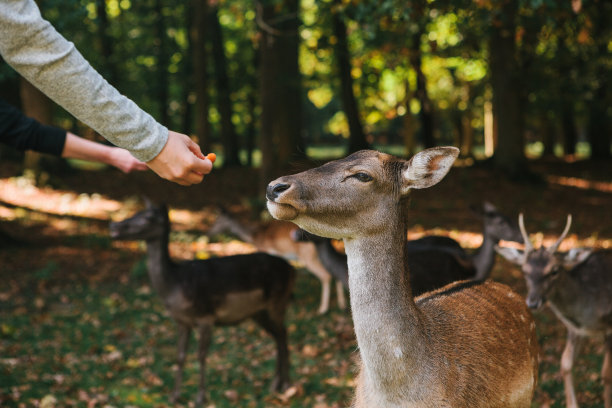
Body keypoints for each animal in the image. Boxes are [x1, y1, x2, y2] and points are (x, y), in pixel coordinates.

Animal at [109, 202, 296, 406]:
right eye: (138, 211)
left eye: (148, 217)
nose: (115, 226)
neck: (175, 287)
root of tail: (292, 270)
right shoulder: (182, 321)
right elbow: (180, 356)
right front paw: (174, 396)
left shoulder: (206, 316)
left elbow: (201, 355)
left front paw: (200, 398)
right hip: (258, 312)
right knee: (277, 336)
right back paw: (276, 384)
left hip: (278, 302)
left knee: (283, 334)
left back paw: (285, 385)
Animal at [209, 212, 344, 314]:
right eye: (215, 219)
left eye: (218, 220)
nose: (209, 232)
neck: (255, 236)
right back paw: (342, 305)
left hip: (308, 257)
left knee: (326, 275)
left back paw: (323, 309)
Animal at [494, 214, 612, 408]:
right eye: (525, 271)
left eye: (554, 270)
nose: (533, 302)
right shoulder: (574, 328)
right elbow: (565, 364)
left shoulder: (609, 326)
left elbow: (606, 373)